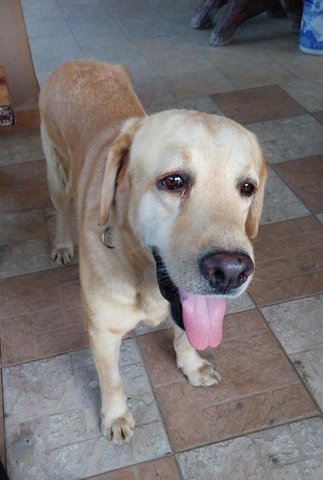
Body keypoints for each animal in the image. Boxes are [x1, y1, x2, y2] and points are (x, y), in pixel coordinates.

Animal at [39, 60, 268, 446]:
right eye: (173, 181)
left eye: (248, 187)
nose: (232, 271)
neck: (143, 277)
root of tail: (77, 63)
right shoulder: (102, 330)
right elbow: (112, 380)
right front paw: (116, 416)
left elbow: (186, 335)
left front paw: (192, 365)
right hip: (57, 172)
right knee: (60, 208)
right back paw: (62, 244)